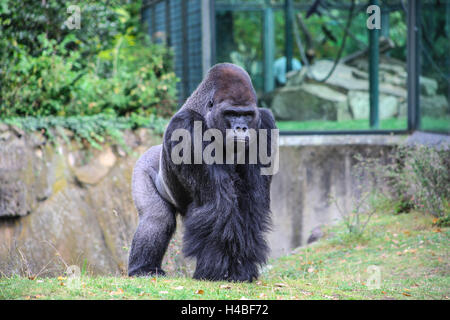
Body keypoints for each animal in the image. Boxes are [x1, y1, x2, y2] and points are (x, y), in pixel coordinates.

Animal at [127, 63, 278, 282]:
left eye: (247, 114)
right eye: (231, 113)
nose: (241, 128)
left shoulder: (265, 123)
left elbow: (251, 204)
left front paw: (240, 269)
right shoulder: (186, 125)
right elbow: (218, 205)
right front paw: (217, 270)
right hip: (143, 166)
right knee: (157, 218)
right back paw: (143, 268)